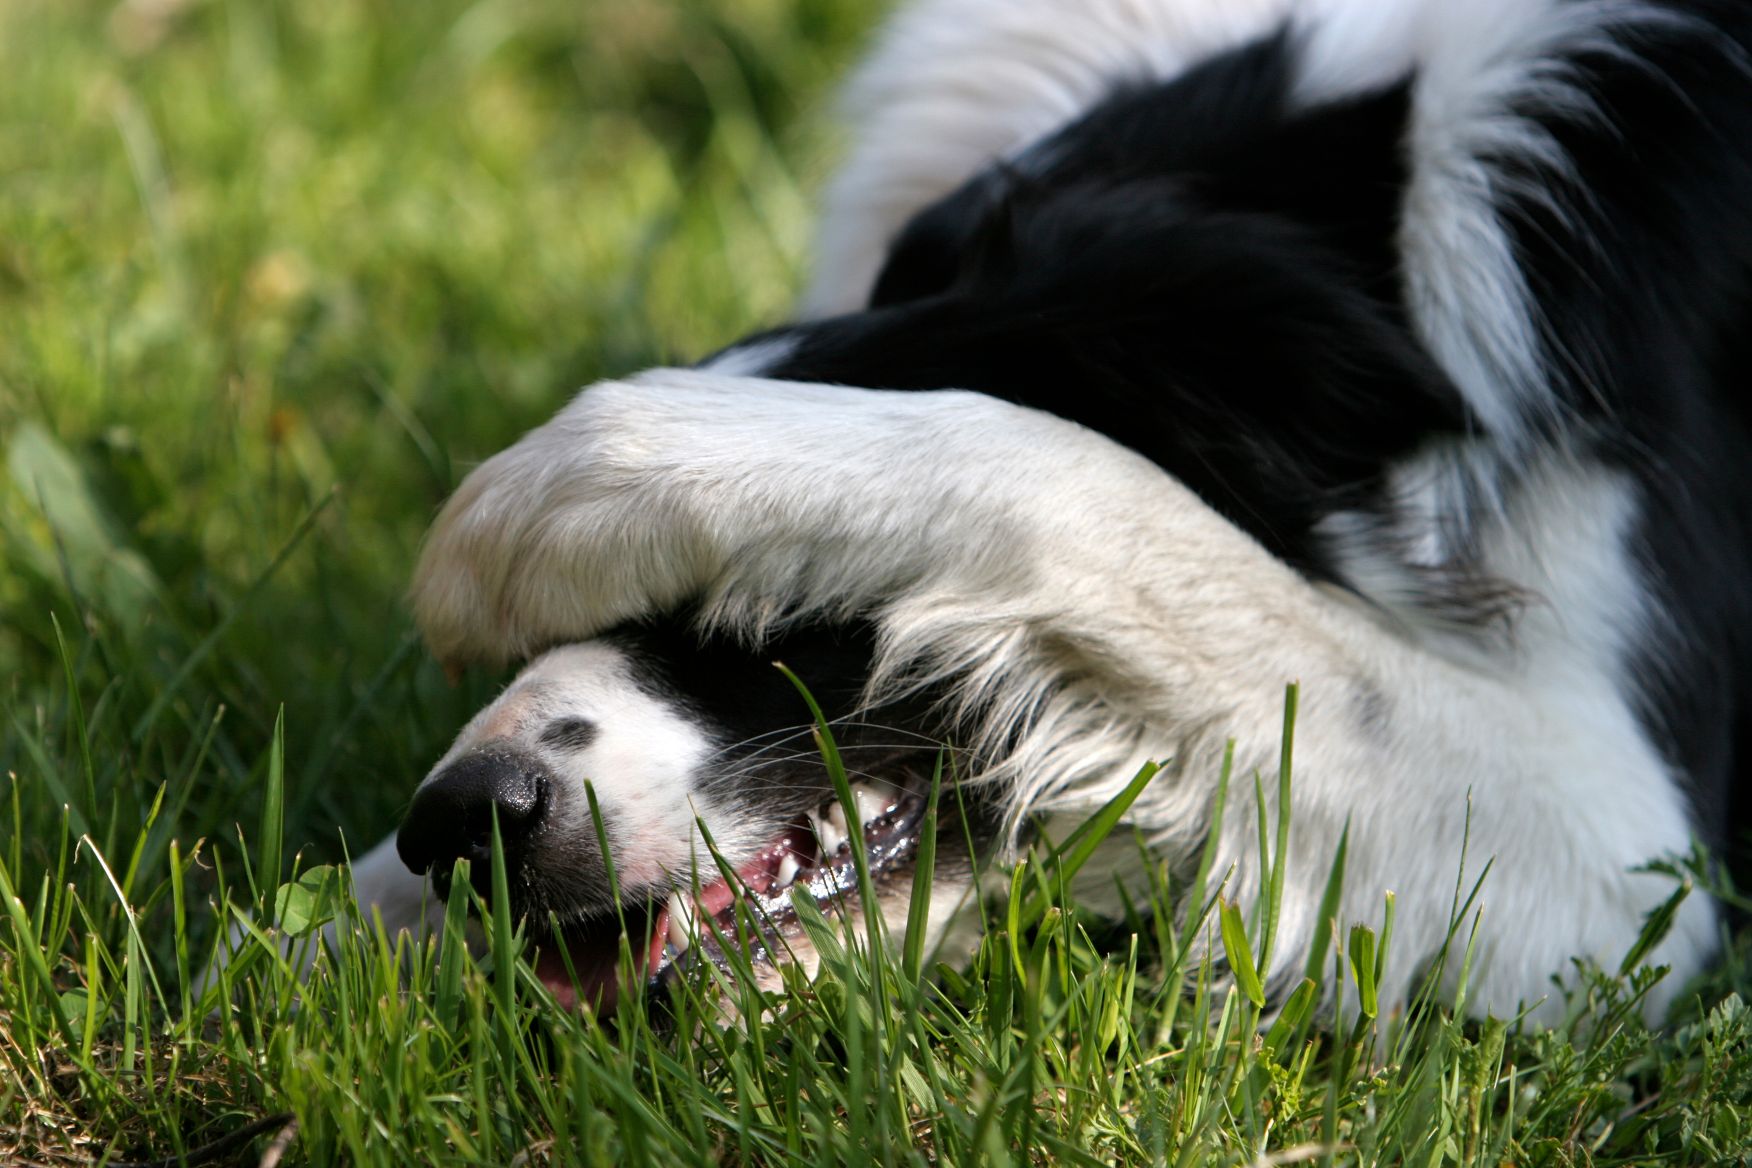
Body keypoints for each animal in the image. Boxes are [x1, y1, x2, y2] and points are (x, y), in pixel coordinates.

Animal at [341, 0, 1752, 1022]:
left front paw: (572, 485)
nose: (460, 826)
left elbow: (1098, 494)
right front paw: (338, 932)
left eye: (762, 593)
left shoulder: (1628, 855)